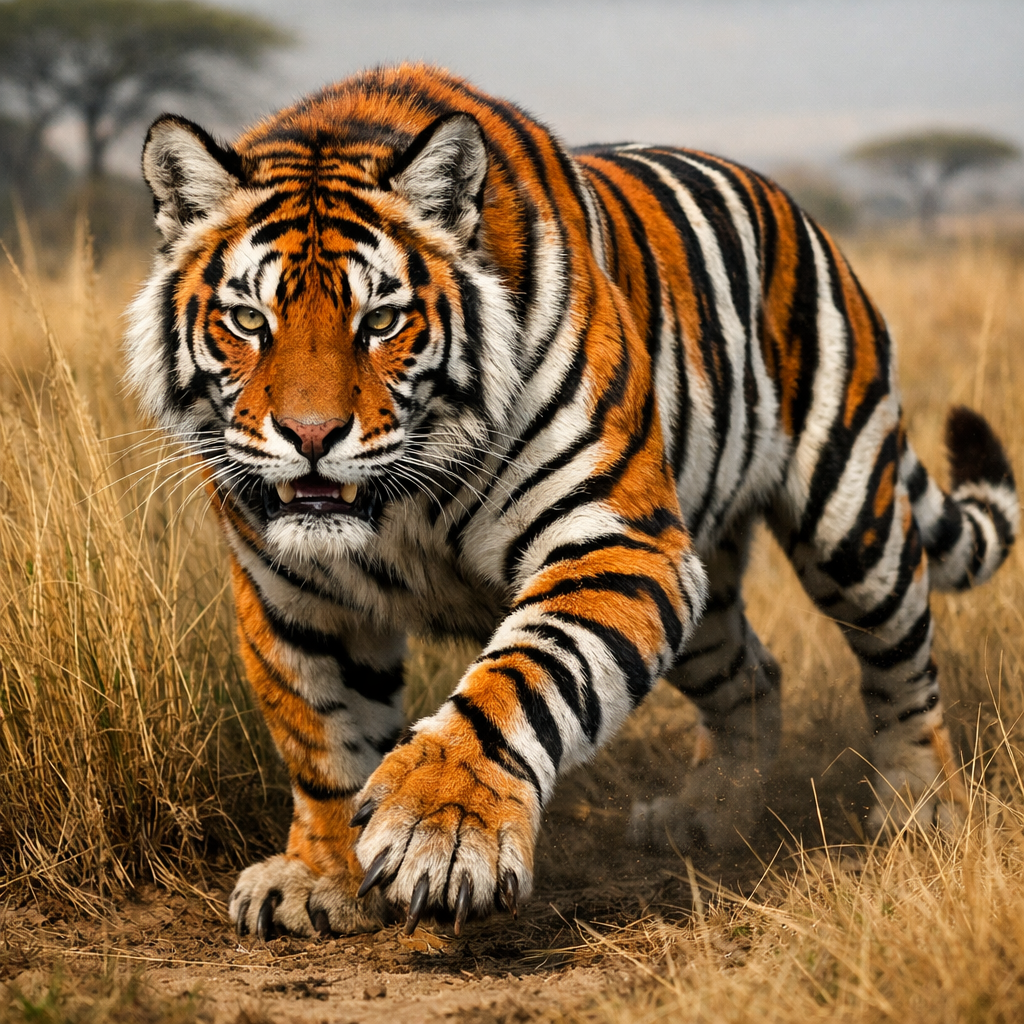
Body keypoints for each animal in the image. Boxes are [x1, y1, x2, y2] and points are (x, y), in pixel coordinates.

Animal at [125, 63, 1018, 940]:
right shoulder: (290, 592)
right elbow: (322, 733)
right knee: (753, 676)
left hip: (851, 523)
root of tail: (795, 207)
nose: (311, 434)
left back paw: (920, 811)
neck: (398, 498)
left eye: (380, 321)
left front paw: (444, 833)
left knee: (902, 666)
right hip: (702, 588)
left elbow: (527, 673)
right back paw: (710, 815)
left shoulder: (616, 540)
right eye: (249, 320)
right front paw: (321, 877)